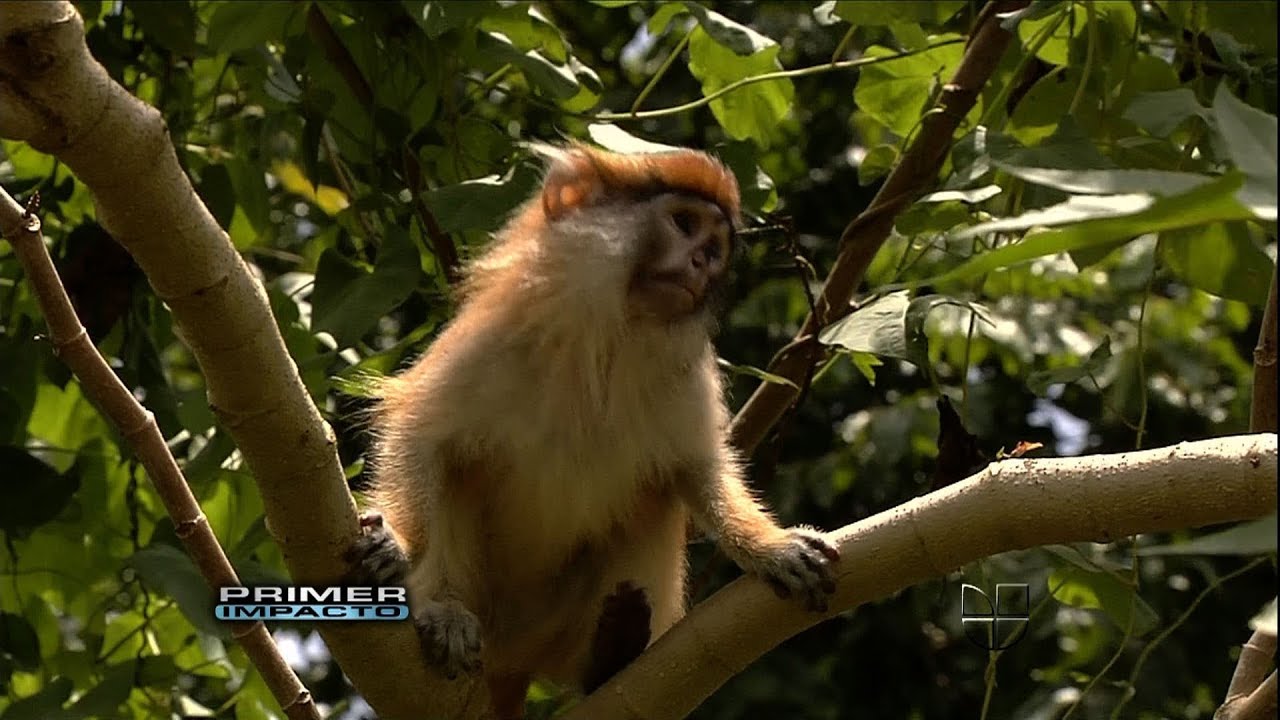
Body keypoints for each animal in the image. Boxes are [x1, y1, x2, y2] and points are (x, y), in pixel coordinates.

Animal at [346, 144, 839, 719]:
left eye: (715, 248)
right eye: (684, 224)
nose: (701, 262)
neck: (607, 336)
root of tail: (512, 658)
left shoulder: (686, 375)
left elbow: (695, 470)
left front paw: (769, 548)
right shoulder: (494, 336)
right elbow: (419, 437)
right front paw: (403, 550)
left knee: (652, 502)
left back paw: (612, 650)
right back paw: (447, 611)